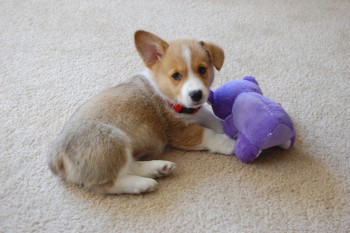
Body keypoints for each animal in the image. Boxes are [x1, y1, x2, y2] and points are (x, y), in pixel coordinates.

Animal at [48, 31, 235, 195]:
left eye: (202, 70)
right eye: (176, 75)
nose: (196, 94)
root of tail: (56, 157)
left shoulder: (198, 113)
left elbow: (214, 120)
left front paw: (231, 127)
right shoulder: (180, 132)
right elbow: (210, 135)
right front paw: (232, 143)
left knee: (129, 166)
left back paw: (158, 168)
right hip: (113, 142)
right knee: (108, 183)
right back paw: (143, 184)